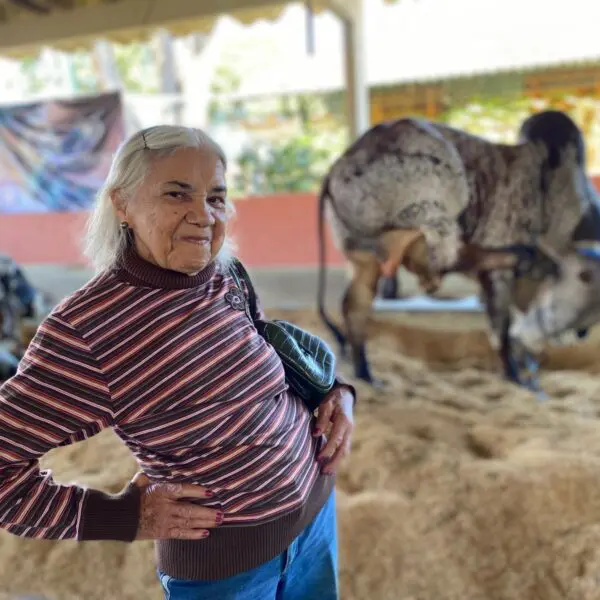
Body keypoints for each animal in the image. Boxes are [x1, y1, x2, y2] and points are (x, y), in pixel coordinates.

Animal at [316, 110, 596, 392]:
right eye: (583, 281)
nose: (578, 333)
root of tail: (336, 169)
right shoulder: (501, 267)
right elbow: (502, 325)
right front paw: (515, 375)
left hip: (365, 257)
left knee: (356, 305)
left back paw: (366, 374)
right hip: (437, 202)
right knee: (442, 258)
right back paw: (519, 255)